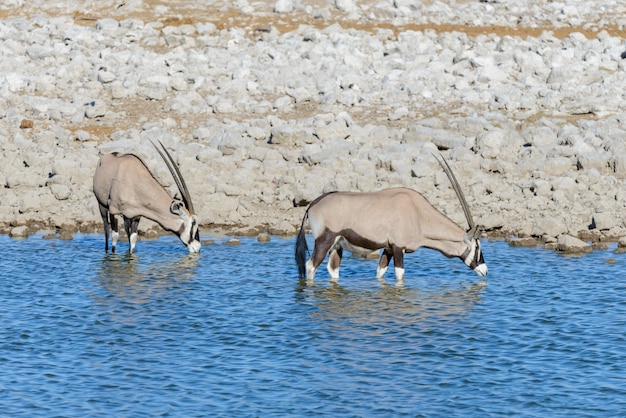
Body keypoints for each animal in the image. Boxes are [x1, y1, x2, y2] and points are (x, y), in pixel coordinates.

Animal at [294, 154, 486, 284]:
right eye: (477, 246)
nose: (485, 270)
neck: (418, 214)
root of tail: (313, 204)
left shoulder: (388, 248)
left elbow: (380, 272)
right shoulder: (398, 248)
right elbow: (400, 274)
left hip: (337, 245)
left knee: (332, 269)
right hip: (324, 241)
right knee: (310, 265)